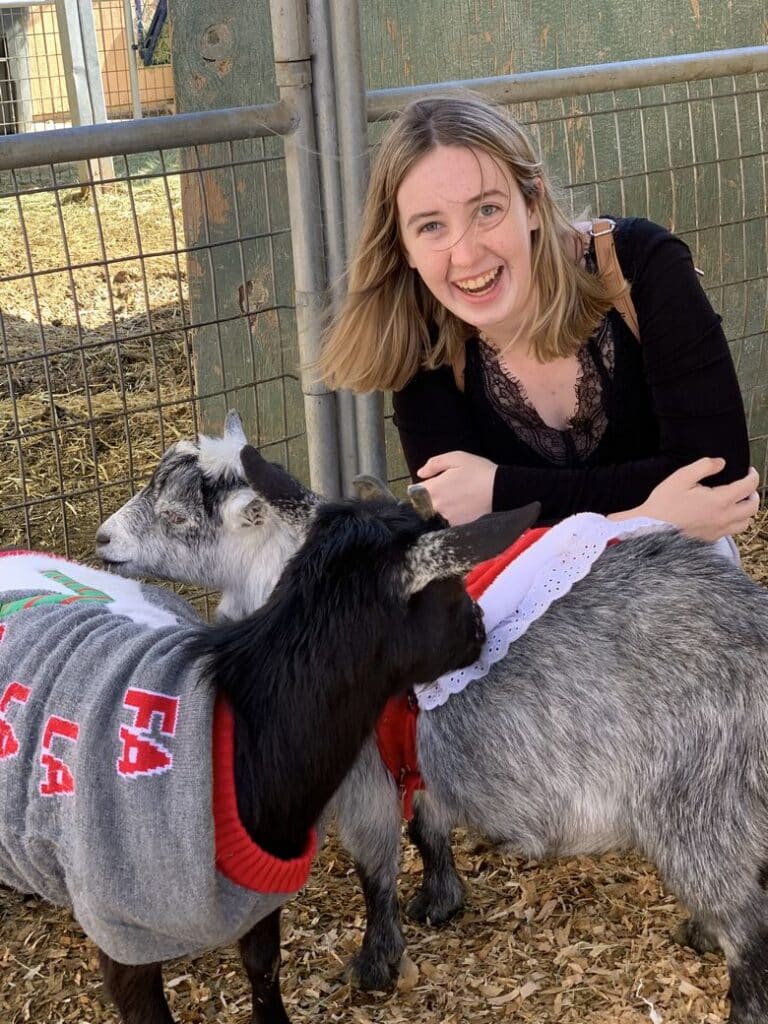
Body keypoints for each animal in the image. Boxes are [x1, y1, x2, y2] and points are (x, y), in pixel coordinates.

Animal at [97, 411, 768, 1019]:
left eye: (176, 517)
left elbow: (374, 866)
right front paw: (441, 900)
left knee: (748, 927)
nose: (102, 541)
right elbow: (428, 825)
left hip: (702, 808)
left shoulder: (360, 773)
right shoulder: (413, 754)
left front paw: (376, 964)